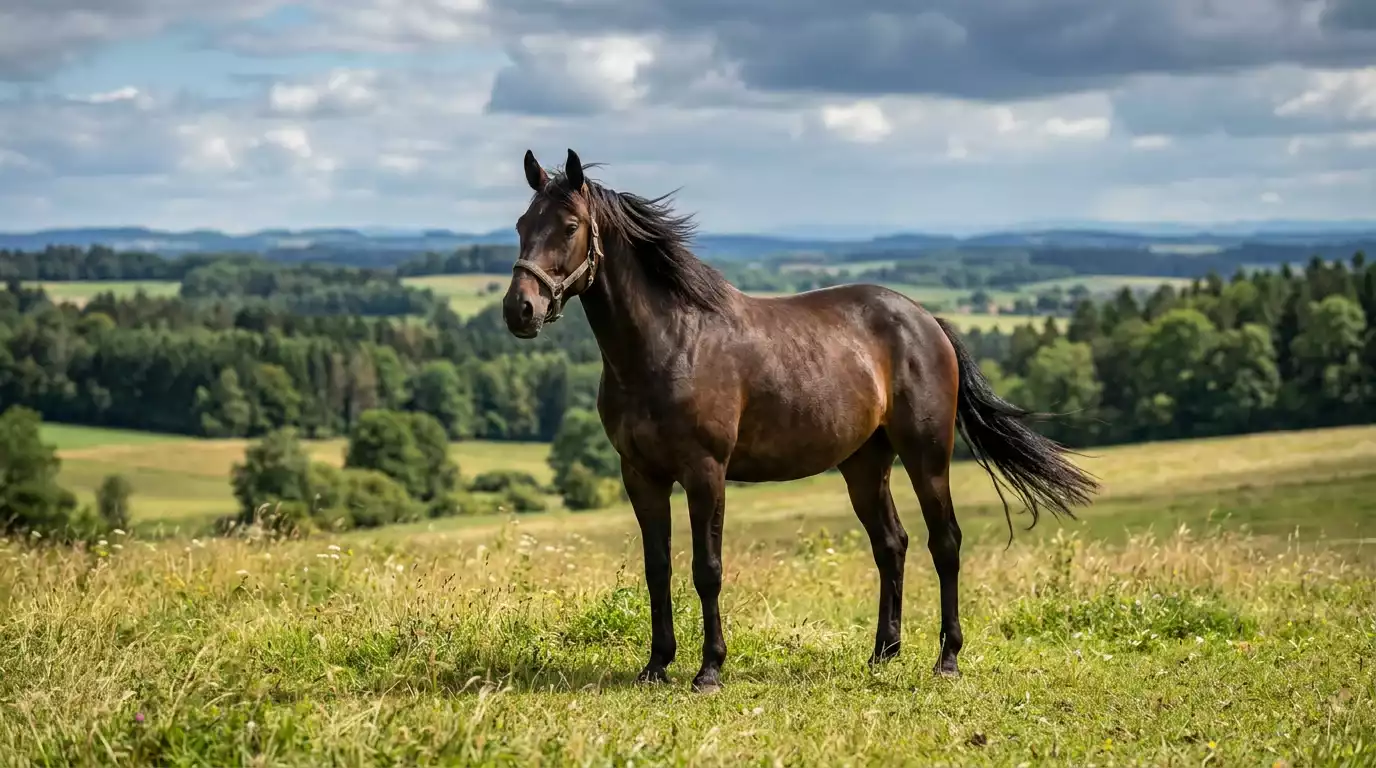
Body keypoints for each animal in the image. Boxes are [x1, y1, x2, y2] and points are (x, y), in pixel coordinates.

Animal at [501, 148, 1099, 692]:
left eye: (570, 227)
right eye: (522, 225)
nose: (519, 310)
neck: (670, 343)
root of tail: (927, 319)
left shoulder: (705, 472)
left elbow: (707, 569)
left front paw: (709, 670)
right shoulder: (640, 475)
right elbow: (658, 568)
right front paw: (656, 666)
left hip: (926, 457)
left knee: (944, 542)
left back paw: (947, 658)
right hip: (865, 464)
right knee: (892, 544)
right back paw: (882, 653)